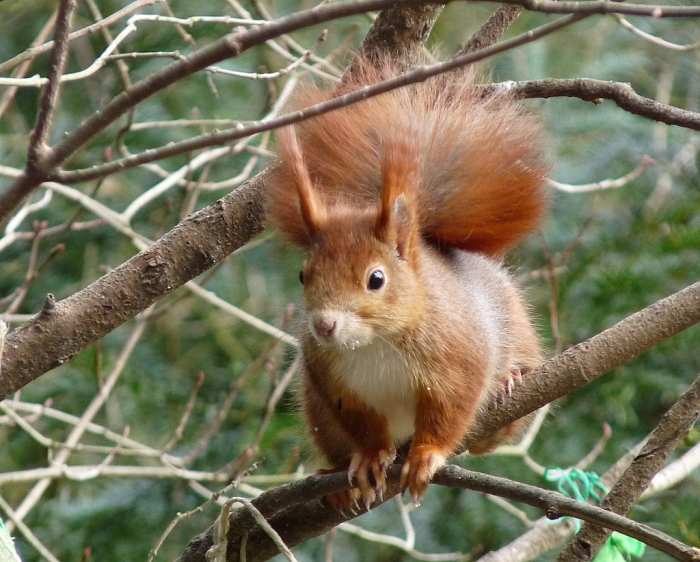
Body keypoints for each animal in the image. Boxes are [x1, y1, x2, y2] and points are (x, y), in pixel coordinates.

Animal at [266, 57, 548, 509]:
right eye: (303, 274)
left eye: (376, 279)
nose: (324, 326)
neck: (374, 342)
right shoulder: (335, 383)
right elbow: (362, 426)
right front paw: (368, 459)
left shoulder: (458, 359)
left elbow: (451, 409)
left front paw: (426, 455)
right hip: (316, 410)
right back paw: (333, 482)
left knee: (491, 435)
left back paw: (508, 386)